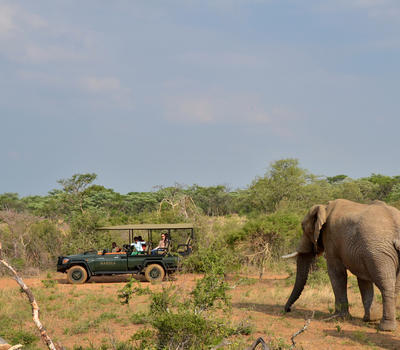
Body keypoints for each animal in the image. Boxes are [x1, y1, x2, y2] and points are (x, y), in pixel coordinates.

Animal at [282, 200, 400, 330]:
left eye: (303, 228)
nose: (287, 310)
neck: (325, 207)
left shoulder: (330, 237)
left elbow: (336, 272)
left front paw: (339, 317)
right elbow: (363, 279)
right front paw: (369, 318)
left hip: (379, 252)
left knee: (386, 284)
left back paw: (386, 327)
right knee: (395, 286)